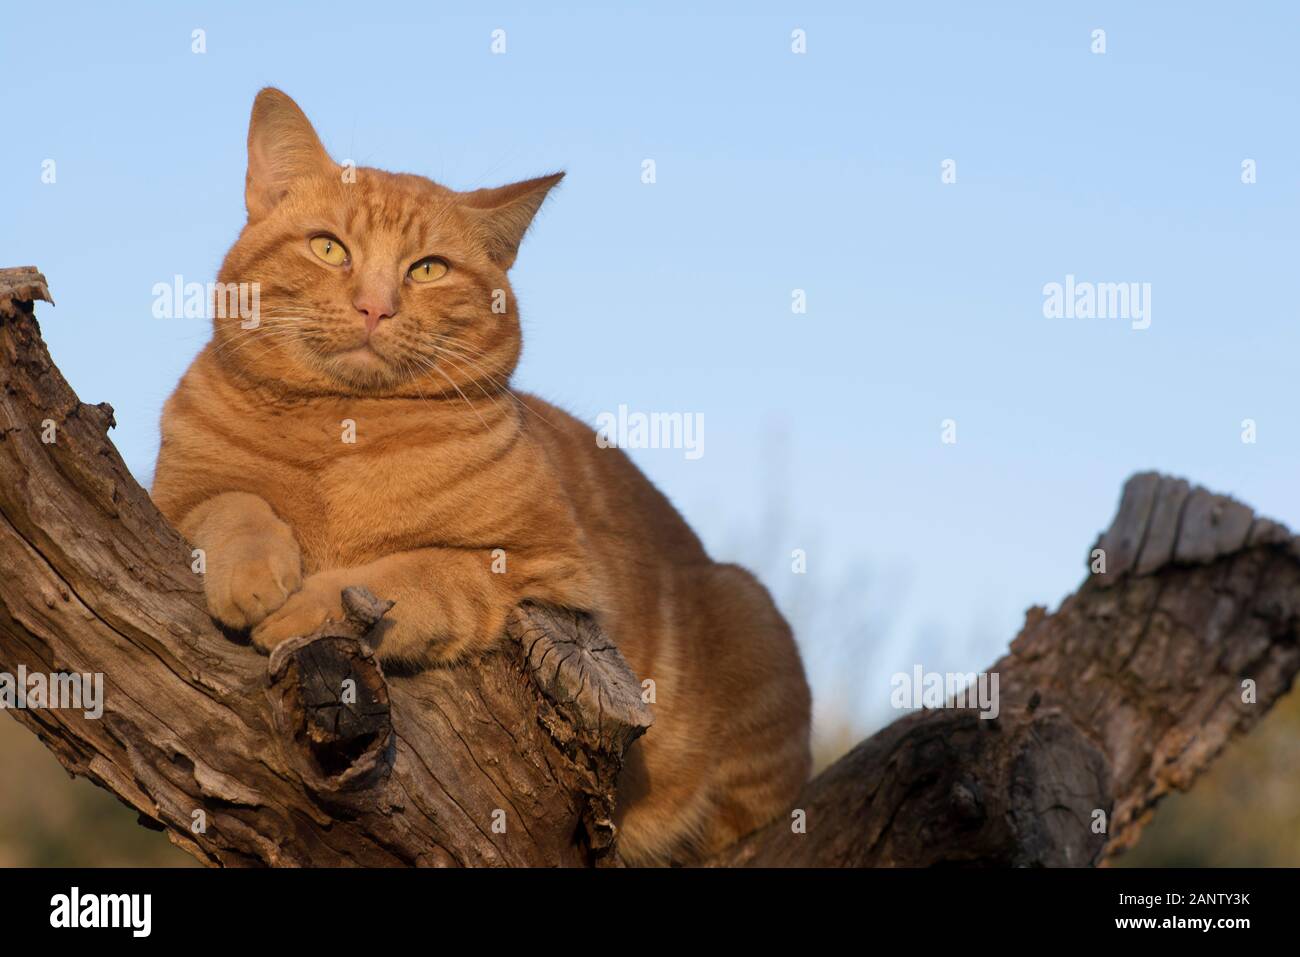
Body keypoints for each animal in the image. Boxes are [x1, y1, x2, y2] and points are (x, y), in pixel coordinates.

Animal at [147, 91, 806, 868]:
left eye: (428, 269)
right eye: (330, 248)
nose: (375, 305)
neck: (343, 430)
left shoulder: (547, 572)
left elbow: (414, 576)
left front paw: (306, 607)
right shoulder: (172, 496)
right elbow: (234, 505)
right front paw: (255, 573)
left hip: (747, 616)